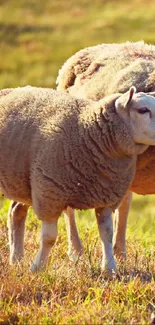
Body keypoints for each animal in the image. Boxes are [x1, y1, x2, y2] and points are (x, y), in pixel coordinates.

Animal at [1, 84, 155, 270]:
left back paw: (16, 259)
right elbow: (49, 238)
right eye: (143, 110)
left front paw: (109, 268)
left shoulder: (106, 196)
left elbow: (107, 233)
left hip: (21, 181)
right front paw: (37, 268)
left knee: (15, 211)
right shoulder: (49, 194)